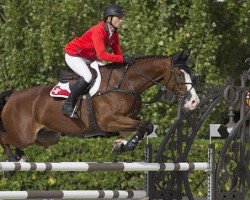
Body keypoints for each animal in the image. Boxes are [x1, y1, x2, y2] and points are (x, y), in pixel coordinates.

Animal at [0, 49, 199, 163]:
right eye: (179, 74)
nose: (194, 102)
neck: (124, 84)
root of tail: (14, 95)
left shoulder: (125, 119)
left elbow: (146, 126)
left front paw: (121, 145)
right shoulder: (109, 121)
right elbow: (144, 124)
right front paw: (128, 144)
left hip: (47, 136)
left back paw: (20, 156)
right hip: (23, 134)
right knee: (5, 138)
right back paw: (11, 160)